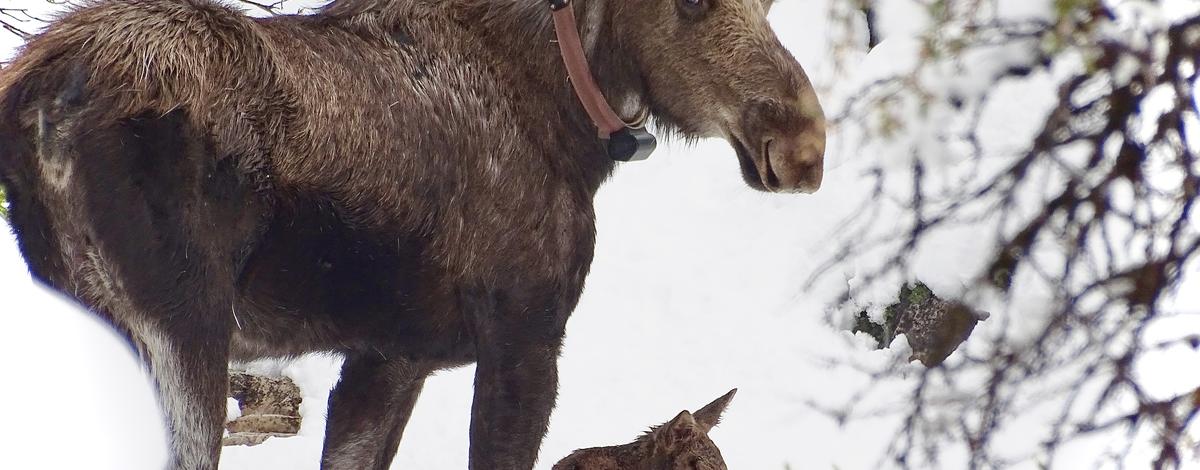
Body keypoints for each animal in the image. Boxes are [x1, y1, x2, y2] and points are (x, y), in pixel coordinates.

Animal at [0, 0, 825, 467]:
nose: (803, 144)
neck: (570, 122)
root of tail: (39, 98)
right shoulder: (524, 338)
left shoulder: (390, 358)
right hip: (183, 330)